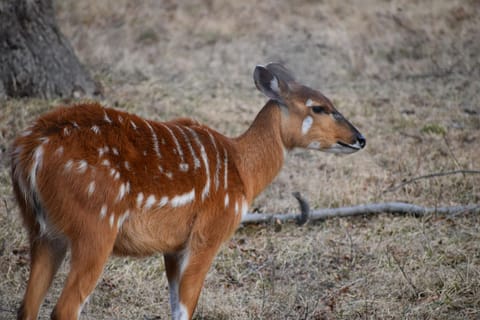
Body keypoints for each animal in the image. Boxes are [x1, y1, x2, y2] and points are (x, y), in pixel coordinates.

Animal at [10, 63, 364, 320]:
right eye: (319, 107)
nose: (359, 138)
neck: (242, 170)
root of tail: (31, 152)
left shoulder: (173, 246)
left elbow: (172, 303)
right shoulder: (208, 233)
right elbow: (185, 307)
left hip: (41, 229)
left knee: (27, 306)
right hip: (95, 227)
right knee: (64, 309)